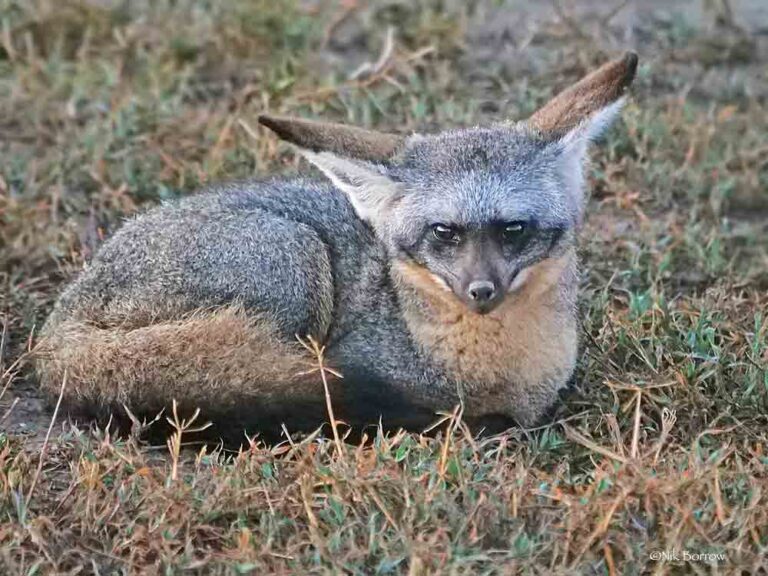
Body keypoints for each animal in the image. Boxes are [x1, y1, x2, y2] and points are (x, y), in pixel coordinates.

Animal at [36, 52, 638, 441]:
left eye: (513, 230)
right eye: (444, 232)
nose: (481, 290)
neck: (497, 368)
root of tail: (58, 323)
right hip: (294, 258)